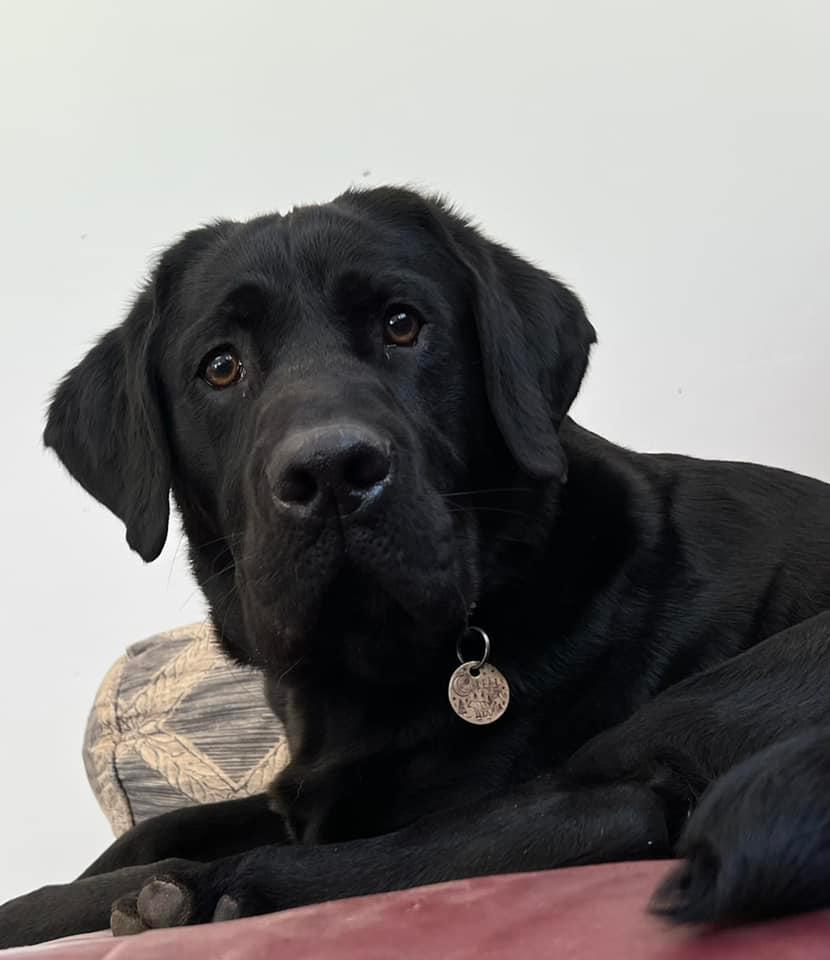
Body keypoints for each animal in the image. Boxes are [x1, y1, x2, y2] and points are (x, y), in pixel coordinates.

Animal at [1, 188, 830, 944]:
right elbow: (155, 829)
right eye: (221, 366)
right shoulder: (303, 796)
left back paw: (188, 896)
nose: (332, 471)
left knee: (611, 808)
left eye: (403, 324)